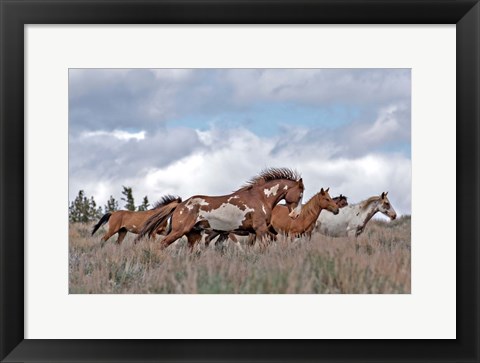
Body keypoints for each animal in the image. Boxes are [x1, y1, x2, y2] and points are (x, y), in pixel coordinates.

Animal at [137, 168, 306, 250]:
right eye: (300, 194)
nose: (296, 215)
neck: (260, 197)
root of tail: (180, 204)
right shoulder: (260, 229)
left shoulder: (259, 231)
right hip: (179, 231)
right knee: (163, 244)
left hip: (194, 235)